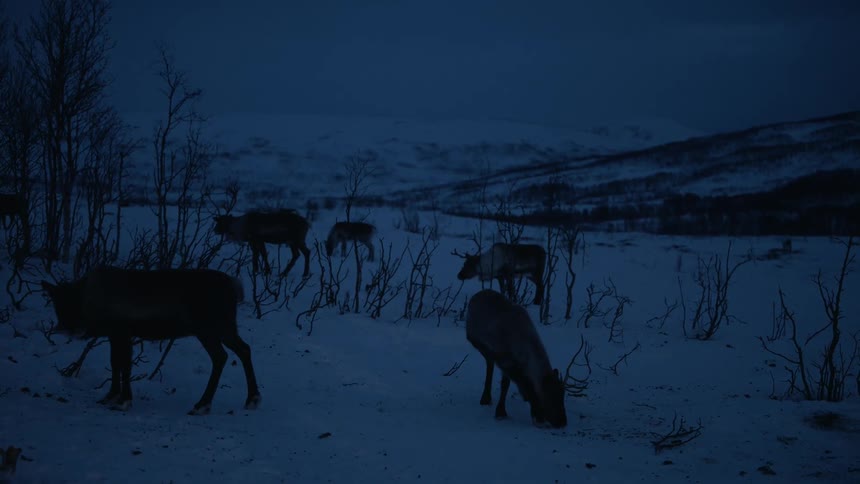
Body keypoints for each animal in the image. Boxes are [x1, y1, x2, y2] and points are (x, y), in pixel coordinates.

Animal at [41, 266, 261, 415]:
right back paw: (251, 399)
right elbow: (115, 363)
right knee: (242, 350)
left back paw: (203, 404)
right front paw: (110, 396)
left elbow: (125, 365)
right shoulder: (115, 335)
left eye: (74, 302)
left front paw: (124, 401)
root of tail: (235, 287)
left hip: (210, 329)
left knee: (222, 356)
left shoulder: (123, 332)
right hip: (221, 329)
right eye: (58, 306)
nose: (70, 329)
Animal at [465, 289, 566, 428]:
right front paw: (501, 412)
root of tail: (476, 295)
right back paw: (485, 398)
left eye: (562, 393)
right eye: (550, 395)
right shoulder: (507, 363)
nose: (562, 421)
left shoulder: (517, 367)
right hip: (481, 346)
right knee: (489, 364)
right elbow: (507, 385)